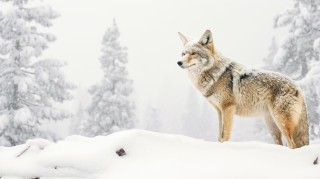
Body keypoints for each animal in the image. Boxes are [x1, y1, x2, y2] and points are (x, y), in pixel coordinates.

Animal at [179, 30, 308, 149]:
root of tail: (298, 87)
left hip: (281, 122)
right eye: (183, 53)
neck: (216, 74)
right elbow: (219, 136)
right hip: (271, 125)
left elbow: (225, 136)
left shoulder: (228, 108)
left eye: (193, 53)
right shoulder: (219, 111)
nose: (178, 62)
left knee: (292, 145)